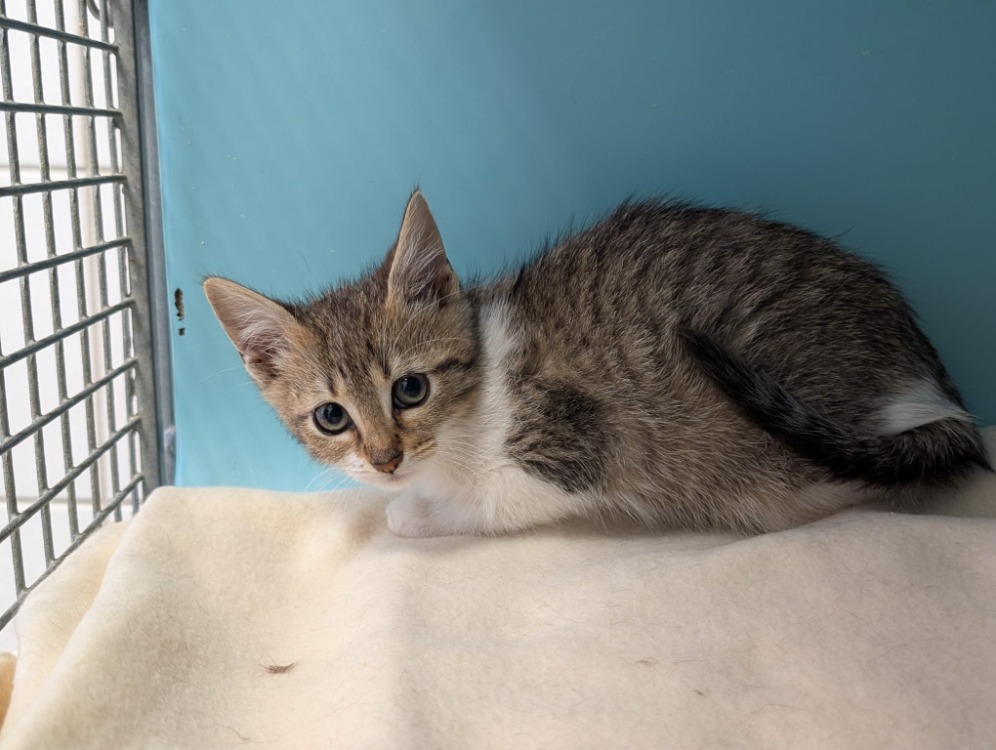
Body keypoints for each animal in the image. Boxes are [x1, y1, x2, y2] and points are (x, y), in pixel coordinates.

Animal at [203, 190, 989, 537]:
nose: (386, 460)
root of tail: (930, 374)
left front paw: (414, 513)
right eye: (331, 417)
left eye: (411, 388)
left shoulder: (574, 442)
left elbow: (494, 502)